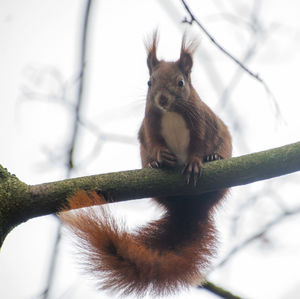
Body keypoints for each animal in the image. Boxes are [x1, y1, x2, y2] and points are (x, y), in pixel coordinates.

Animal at [61, 32, 232, 298]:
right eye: (150, 82)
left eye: (181, 82)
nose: (162, 99)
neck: (171, 113)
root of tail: (190, 209)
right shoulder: (150, 126)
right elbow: (155, 143)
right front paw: (160, 158)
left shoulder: (202, 123)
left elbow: (198, 146)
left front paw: (196, 161)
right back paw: (153, 166)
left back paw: (214, 158)